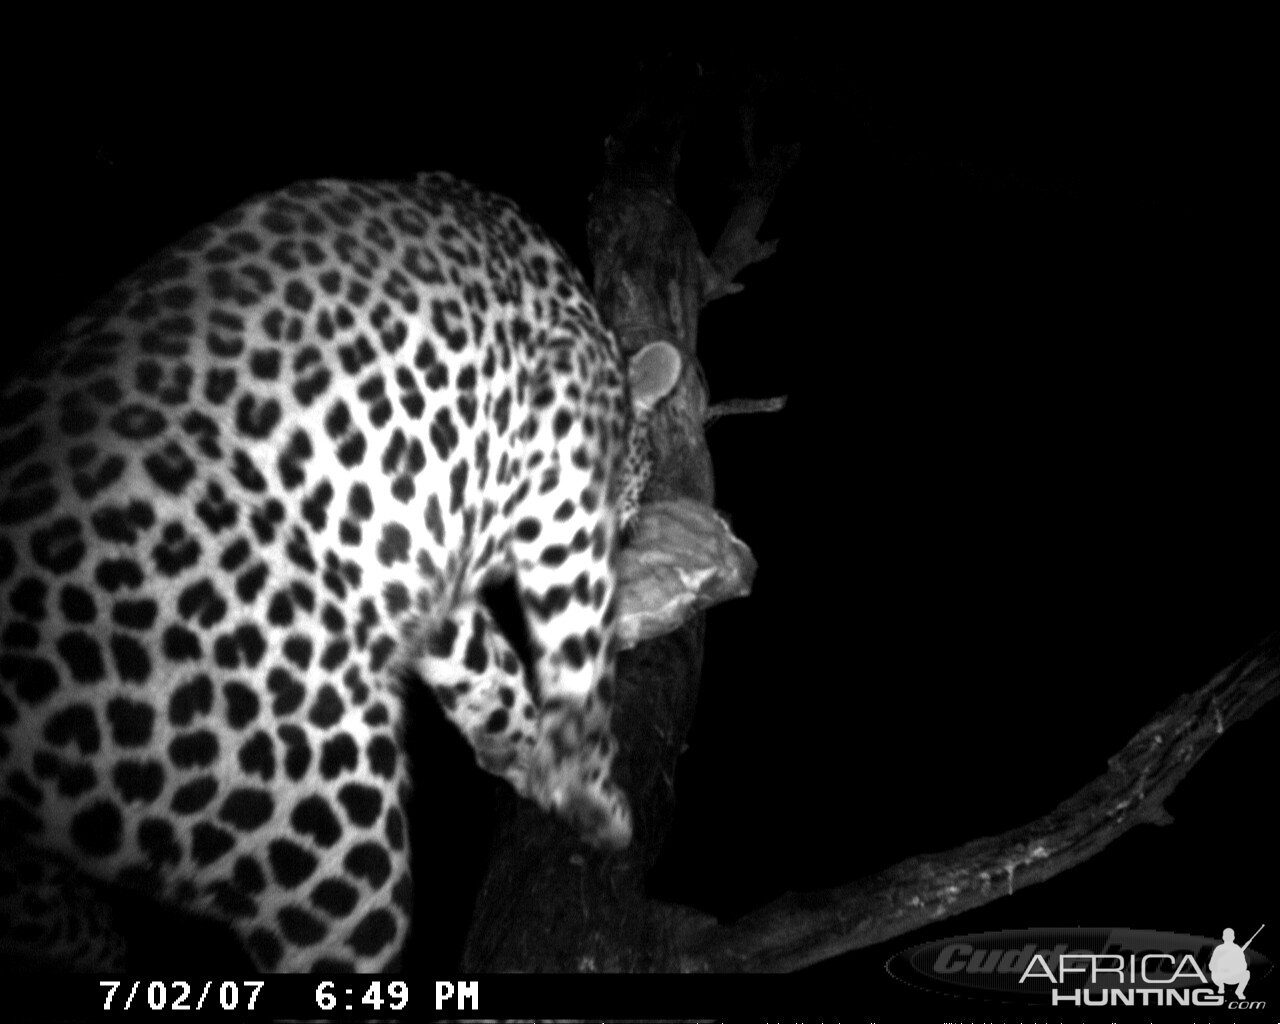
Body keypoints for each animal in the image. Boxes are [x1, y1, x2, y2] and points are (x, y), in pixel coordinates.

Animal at [0, 171, 686, 972]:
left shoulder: (419, 559)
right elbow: (577, 649)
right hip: (323, 819)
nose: (632, 527)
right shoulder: (560, 479)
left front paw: (527, 756)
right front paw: (592, 793)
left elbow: (487, 669)